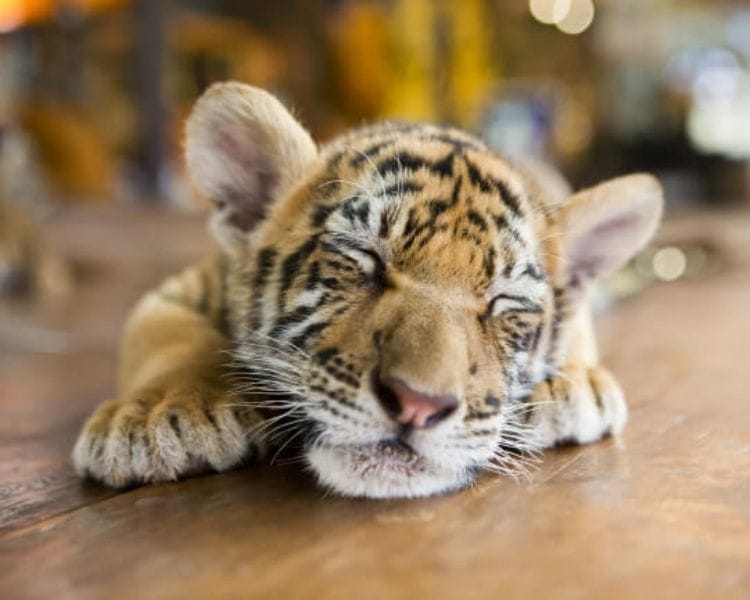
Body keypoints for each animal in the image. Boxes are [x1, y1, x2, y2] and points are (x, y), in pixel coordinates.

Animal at [72, 82, 663, 498]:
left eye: (501, 304)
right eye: (365, 260)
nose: (418, 405)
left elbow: (577, 327)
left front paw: (572, 385)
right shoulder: (176, 290)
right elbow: (169, 337)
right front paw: (159, 416)